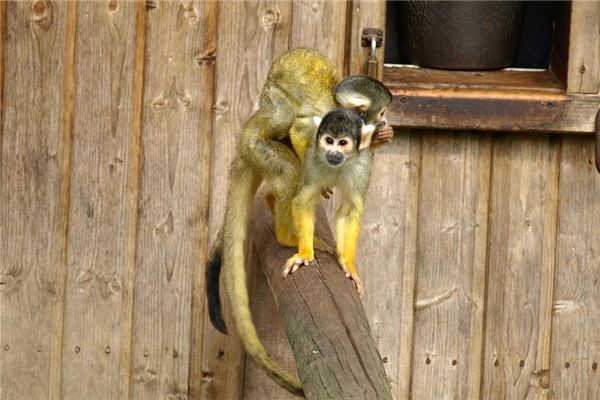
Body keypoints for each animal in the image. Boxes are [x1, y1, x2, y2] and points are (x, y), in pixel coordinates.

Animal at [282, 108, 376, 296]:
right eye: (329, 141)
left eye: (342, 143)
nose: (332, 152)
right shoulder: (313, 161)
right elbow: (303, 201)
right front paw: (305, 253)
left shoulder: (362, 168)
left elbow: (349, 211)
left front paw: (349, 266)